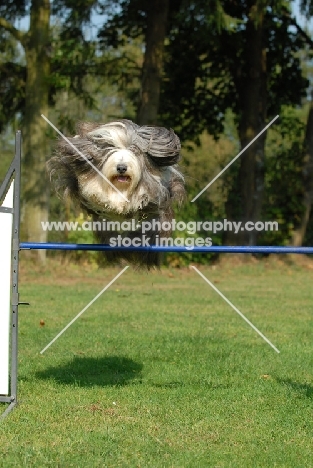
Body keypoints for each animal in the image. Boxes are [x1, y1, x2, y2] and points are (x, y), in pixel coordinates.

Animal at [46, 119, 185, 268]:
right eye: (110, 150)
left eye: (135, 151)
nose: (121, 168)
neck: (121, 188)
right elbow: (95, 191)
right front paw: (110, 201)